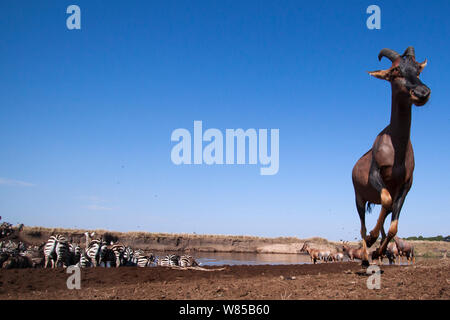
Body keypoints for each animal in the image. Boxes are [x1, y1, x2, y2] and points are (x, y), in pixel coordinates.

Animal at [352, 46, 428, 266]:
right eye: (395, 71)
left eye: (418, 69)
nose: (422, 93)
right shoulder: (375, 174)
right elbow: (385, 201)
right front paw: (371, 239)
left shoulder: (405, 186)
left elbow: (394, 225)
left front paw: (379, 249)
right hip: (359, 199)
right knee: (362, 225)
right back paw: (366, 254)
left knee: (386, 216)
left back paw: (376, 252)